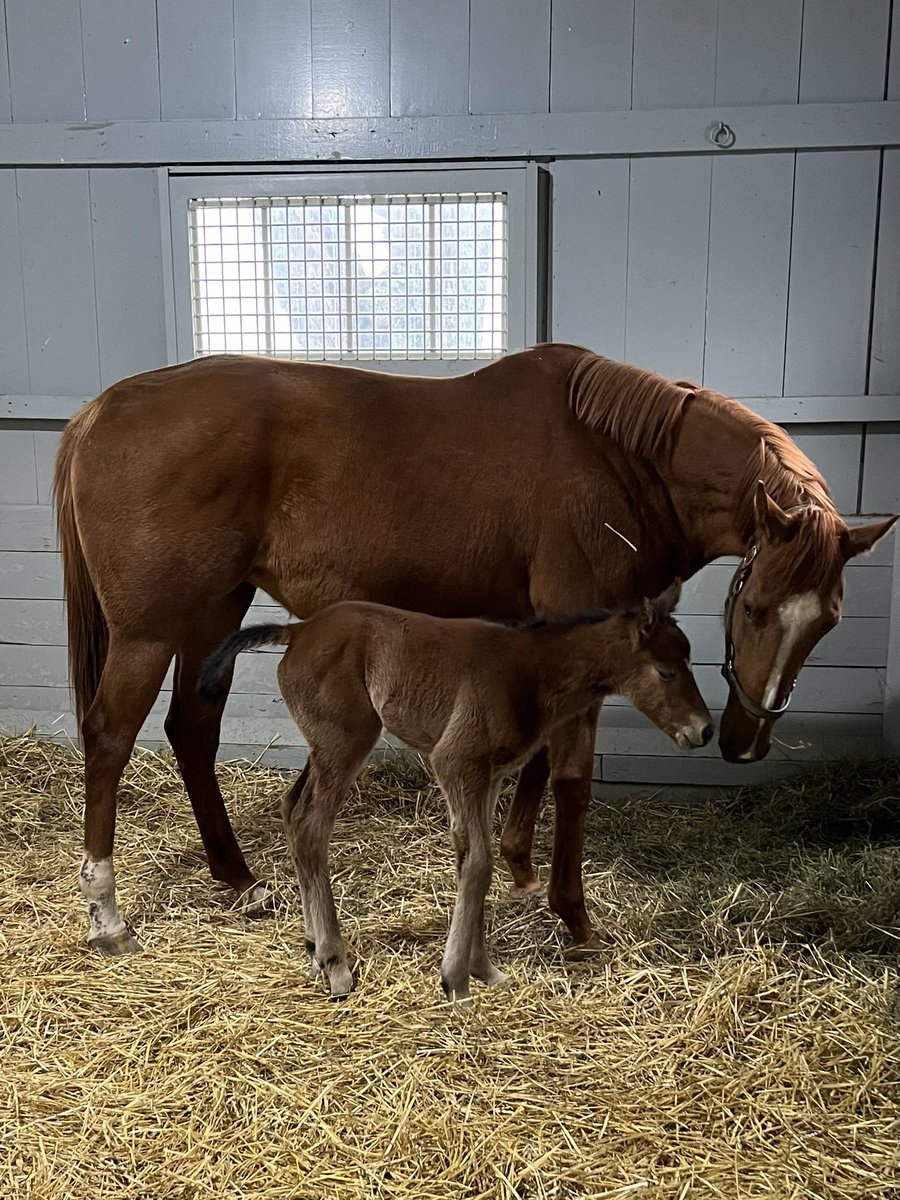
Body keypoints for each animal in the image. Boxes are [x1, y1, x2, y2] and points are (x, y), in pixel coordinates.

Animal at [53, 345, 896, 956]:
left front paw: (520, 862)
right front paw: (573, 916)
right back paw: (107, 912)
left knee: (191, 733)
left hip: (213, 614)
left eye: (826, 621)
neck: (617, 460)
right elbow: (572, 778)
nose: (744, 739)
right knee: (110, 738)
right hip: (149, 633)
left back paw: (239, 878)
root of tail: (100, 411)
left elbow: (538, 757)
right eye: (753, 607)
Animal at [195, 583, 711, 1000]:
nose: (703, 731)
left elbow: (470, 856)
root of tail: (298, 631)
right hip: (346, 741)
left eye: (688, 660)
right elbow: (480, 862)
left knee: (291, 809)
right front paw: (456, 980)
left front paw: (485, 970)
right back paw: (336, 965)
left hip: (325, 745)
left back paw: (312, 947)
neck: (530, 671)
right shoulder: (456, 761)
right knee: (310, 827)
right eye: (666, 672)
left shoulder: (489, 775)